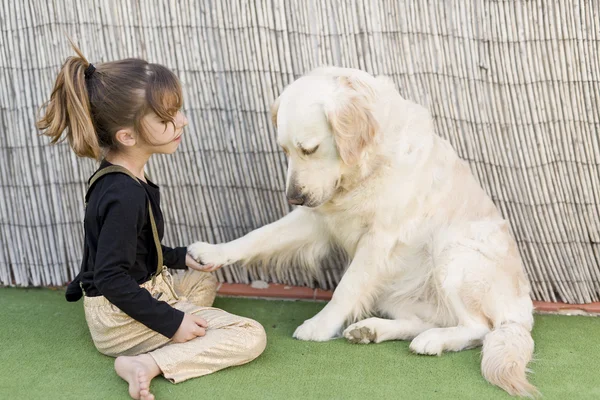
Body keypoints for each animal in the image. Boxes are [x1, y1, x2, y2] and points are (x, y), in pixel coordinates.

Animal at [190, 66, 536, 396]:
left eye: (309, 149)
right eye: (285, 151)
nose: (293, 198)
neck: (362, 170)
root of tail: (522, 311)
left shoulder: (380, 237)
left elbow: (346, 287)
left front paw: (320, 325)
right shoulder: (316, 220)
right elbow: (258, 236)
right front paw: (212, 252)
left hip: (453, 254)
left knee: (479, 327)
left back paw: (433, 340)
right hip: (399, 291)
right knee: (422, 321)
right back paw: (373, 330)